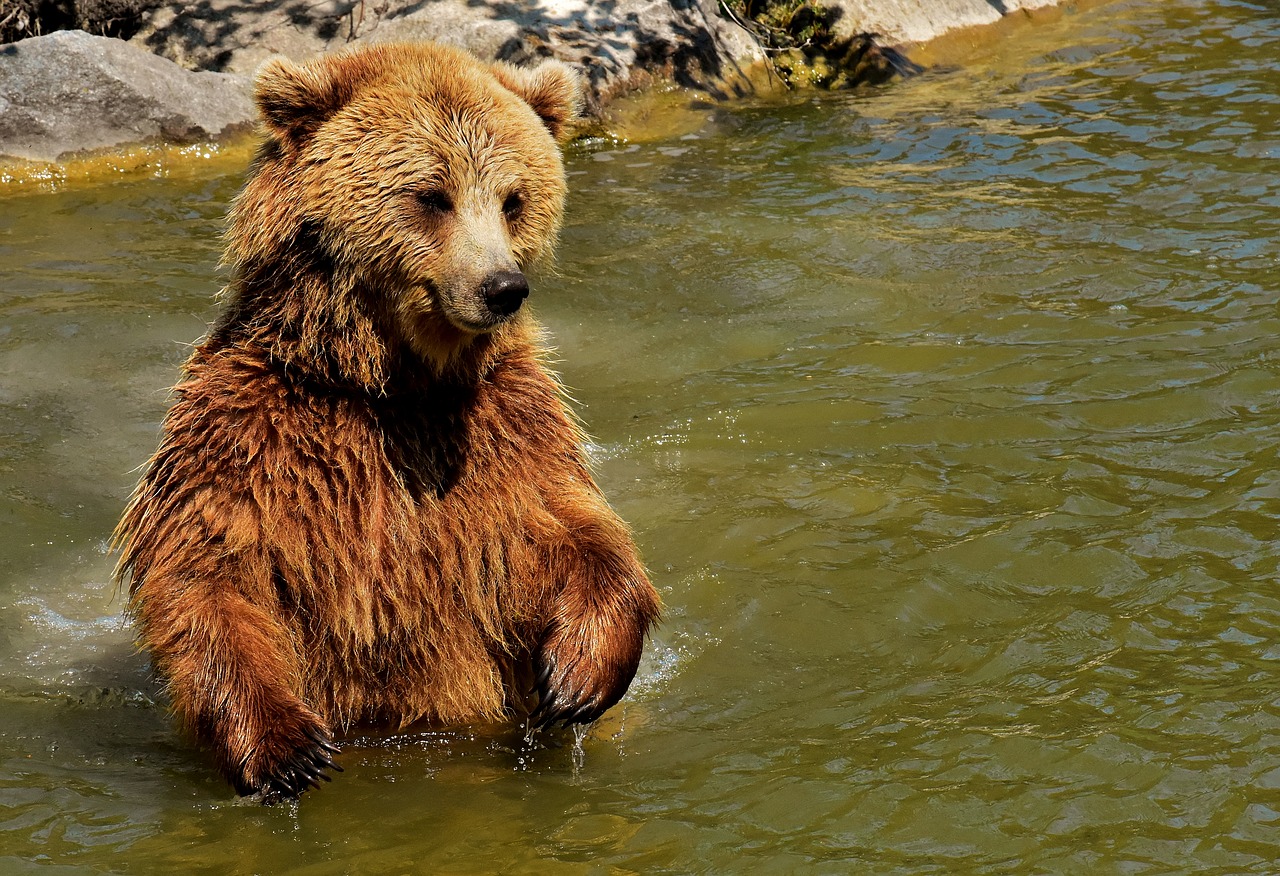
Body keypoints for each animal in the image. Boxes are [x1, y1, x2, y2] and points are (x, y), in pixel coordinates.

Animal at [112, 44, 660, 804]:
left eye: (514, 198)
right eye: (432, 195)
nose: (502, 287)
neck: (390, 385)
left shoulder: (505, 426)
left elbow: (572, 528)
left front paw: (577, 675)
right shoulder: (249, 430)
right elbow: (210, 569)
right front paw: (286, 750)